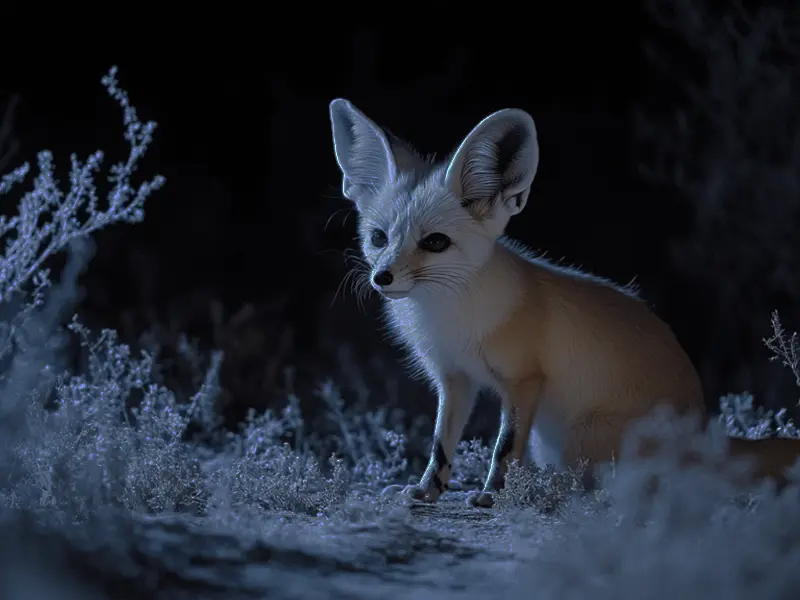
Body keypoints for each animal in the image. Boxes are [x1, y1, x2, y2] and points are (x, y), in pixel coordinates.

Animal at [327, 98, 800, 507]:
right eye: (378, 238)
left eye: (435, 243)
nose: (382, 277)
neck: (447, 319)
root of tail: (703, 431)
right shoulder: (454, 378)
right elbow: (440, 445)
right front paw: (427, 491)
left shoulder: (524, 380)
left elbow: (504, 447)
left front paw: (492, 496)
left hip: (580, 436)